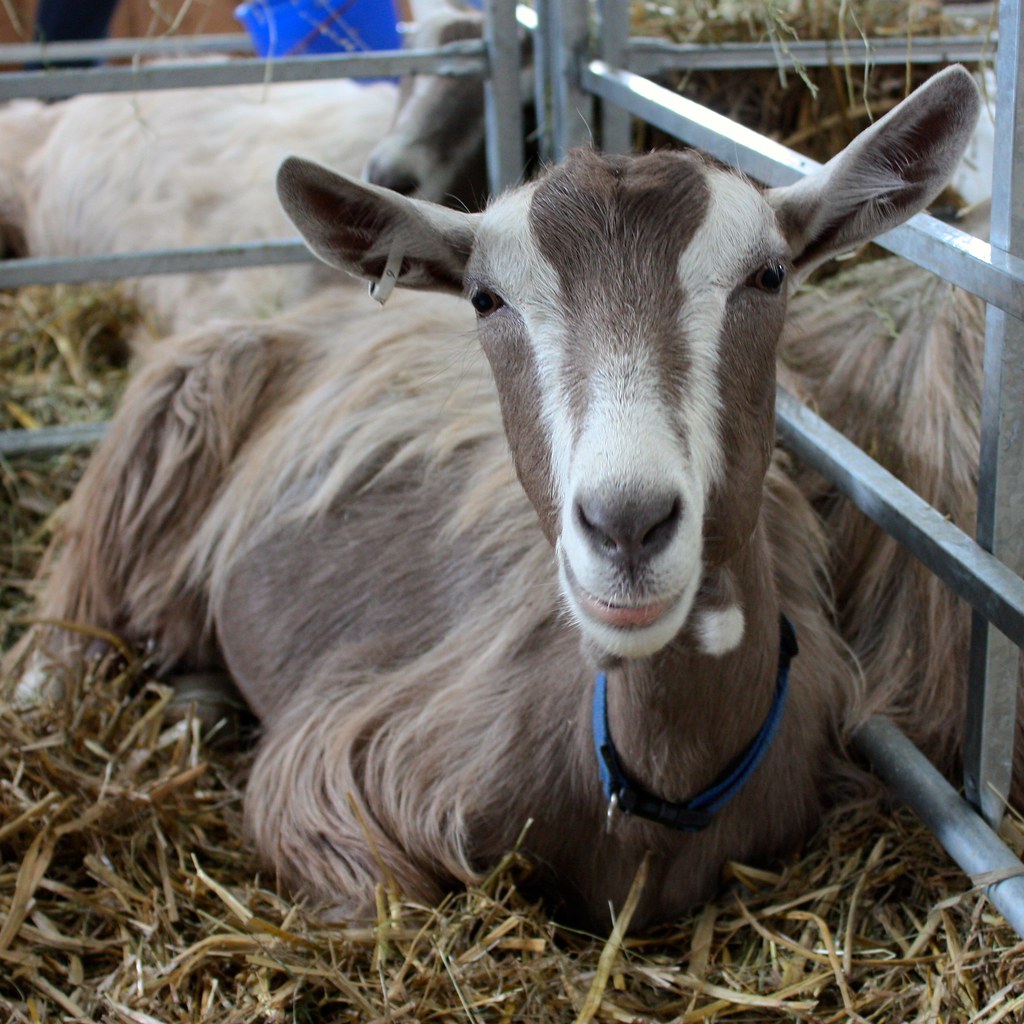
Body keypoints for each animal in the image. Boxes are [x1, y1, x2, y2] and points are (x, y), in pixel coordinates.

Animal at [7, 67, 985, 931]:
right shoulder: (329, 765)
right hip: (171, 414)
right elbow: (385, 896)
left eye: (770, 277)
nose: (627, 526)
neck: (652, 784)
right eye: (484, 297)